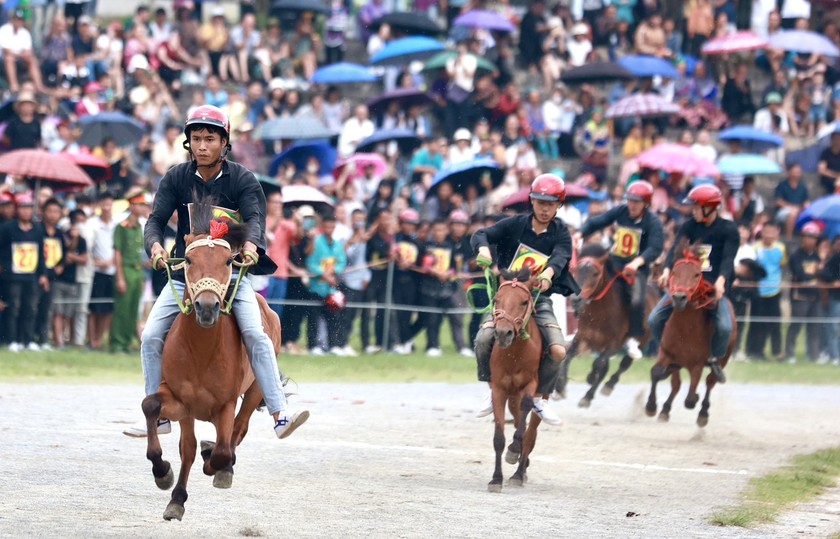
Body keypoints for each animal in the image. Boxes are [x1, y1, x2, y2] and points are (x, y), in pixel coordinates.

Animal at [139, 200, 280, 520]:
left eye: (229, 261)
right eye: (189, 261)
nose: (206, 307)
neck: (201, 352)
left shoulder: (224, 405)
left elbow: (222, 450)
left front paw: (216, 465)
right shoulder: (182, 401)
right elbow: (159, 415)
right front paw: (168, 482)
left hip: (256, 387)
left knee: (239, 430)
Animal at [486, 268, 544, 494]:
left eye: (524, 302)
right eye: (496, 299)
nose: (503, 333)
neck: (514, 355)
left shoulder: (530, 387)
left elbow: (523, 434)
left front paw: (513, 451)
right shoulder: (499, 390)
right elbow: (498, 438)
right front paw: (495, 479)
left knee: (530, 433)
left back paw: (519, 473)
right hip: (512, 398)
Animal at [556, 243, 664, 408]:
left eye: (595, 273)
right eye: (576, 270)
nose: (576, 300)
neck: (600, 313)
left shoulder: (613, 344)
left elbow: (600, 364)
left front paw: (590, 383)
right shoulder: (582, 337)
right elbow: (568, 356)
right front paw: (560, 388)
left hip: (642, 339)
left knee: (624, 363)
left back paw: (606, 386)